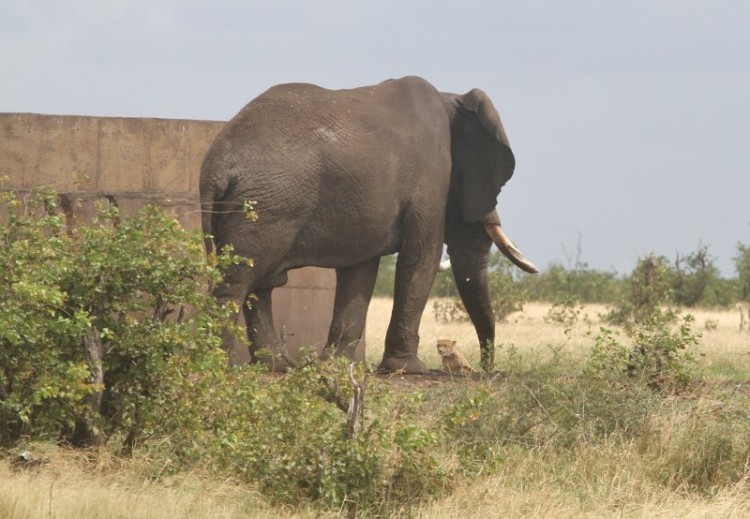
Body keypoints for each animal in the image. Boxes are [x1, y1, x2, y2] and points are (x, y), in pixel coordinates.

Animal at [203, 76, 536, 374]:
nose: (485, 369)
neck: (450, 98)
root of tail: (215, 166)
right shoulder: (430, 174)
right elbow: (421, 258)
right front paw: (409, 370)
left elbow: (360, 269)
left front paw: (336, 366)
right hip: (267, 206)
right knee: (238, 280)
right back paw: (220, 365)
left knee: (259, 284)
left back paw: (274, 367)